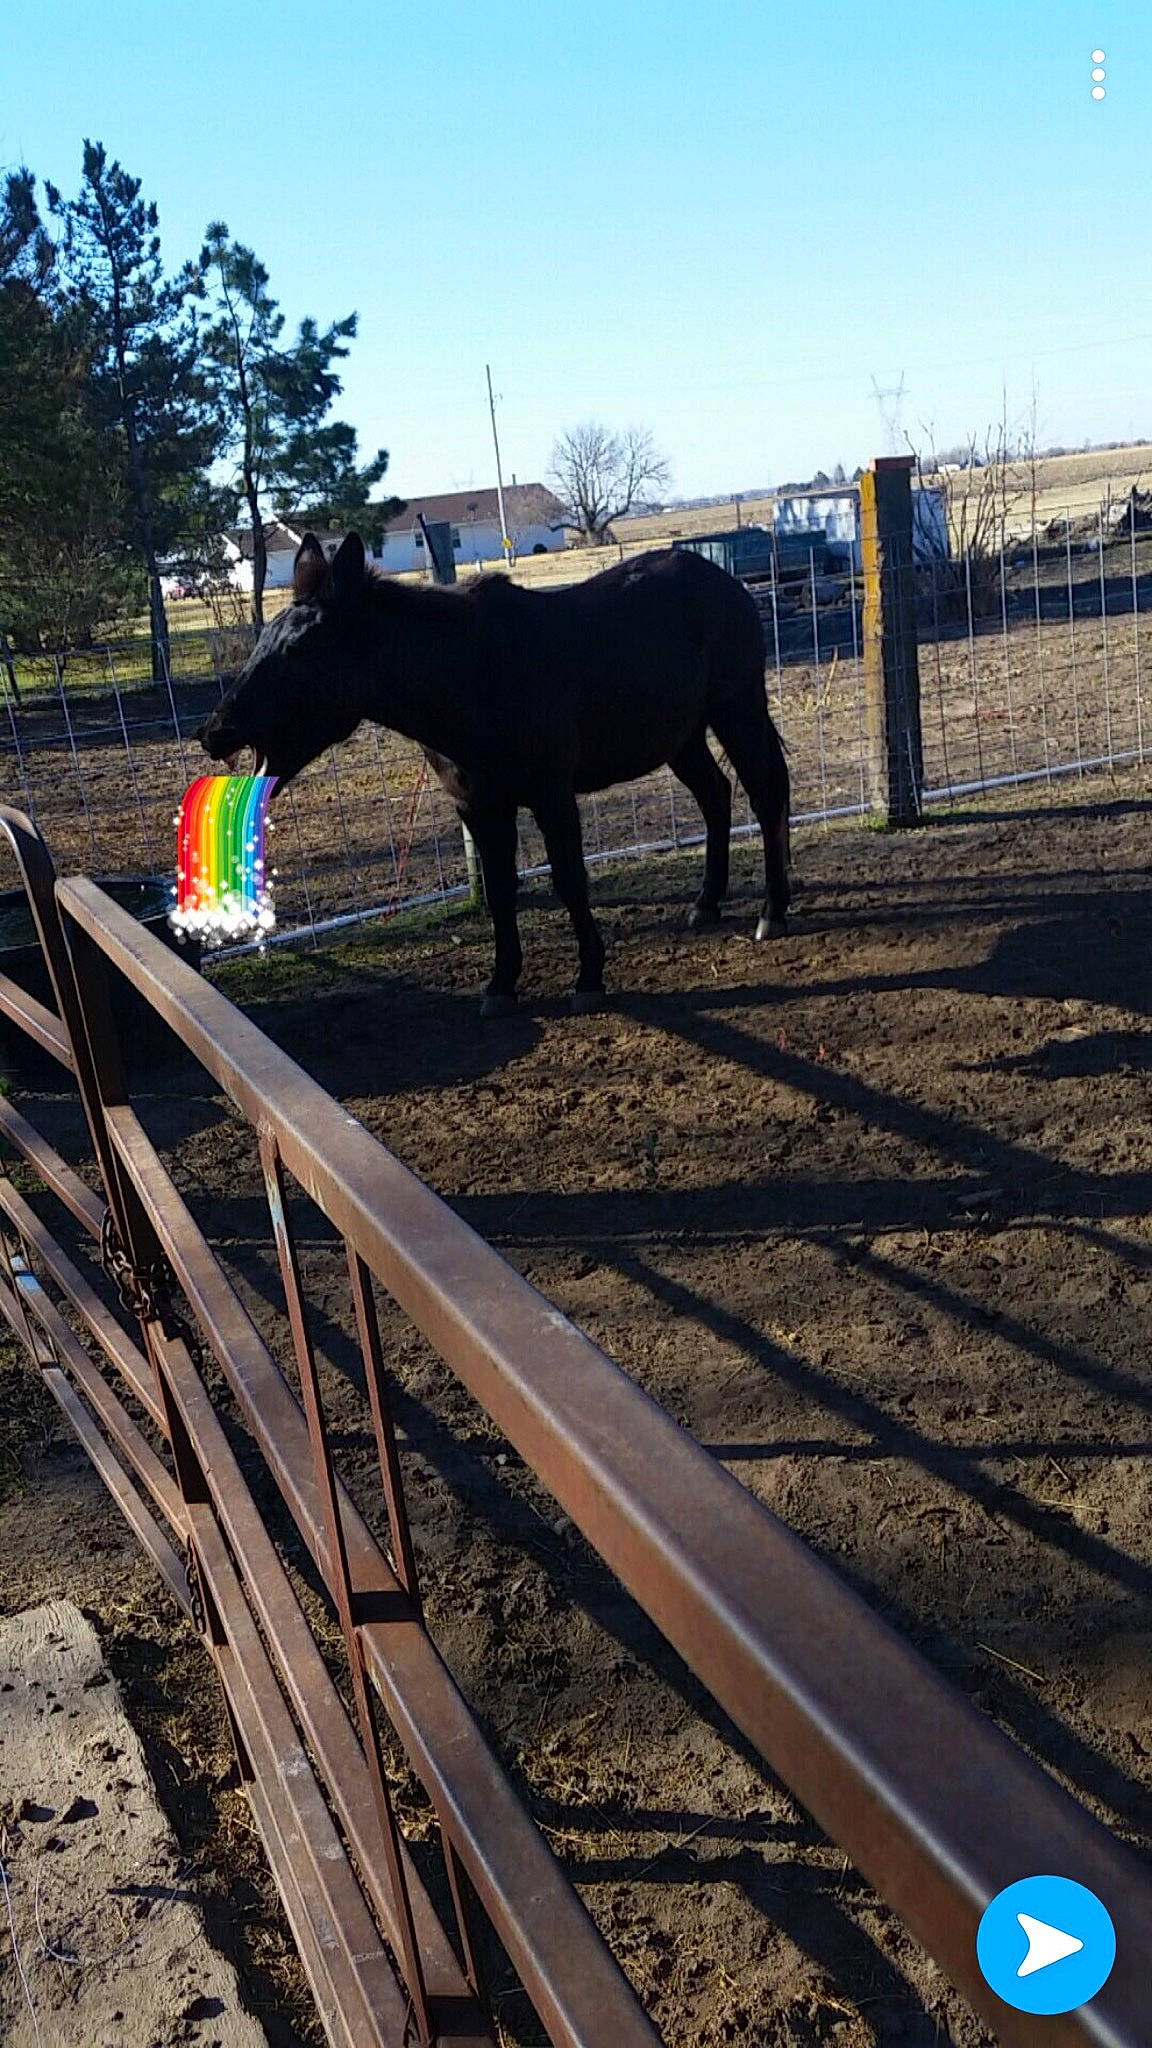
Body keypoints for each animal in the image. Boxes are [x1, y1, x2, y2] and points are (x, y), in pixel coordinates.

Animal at [199, 533, 792, 1017]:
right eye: (263, 640)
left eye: (300, 647)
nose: (215, 731)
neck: (474, 676)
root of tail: (726, 582)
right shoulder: (478, 805)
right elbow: (502, 890)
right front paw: (502, 985)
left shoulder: (551, 795)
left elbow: (569, 881)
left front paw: (589, 977)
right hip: (681, 737)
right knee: (716, 797)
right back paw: (706, 904)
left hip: (736, 710)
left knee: (765, 797)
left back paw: (773, 914)